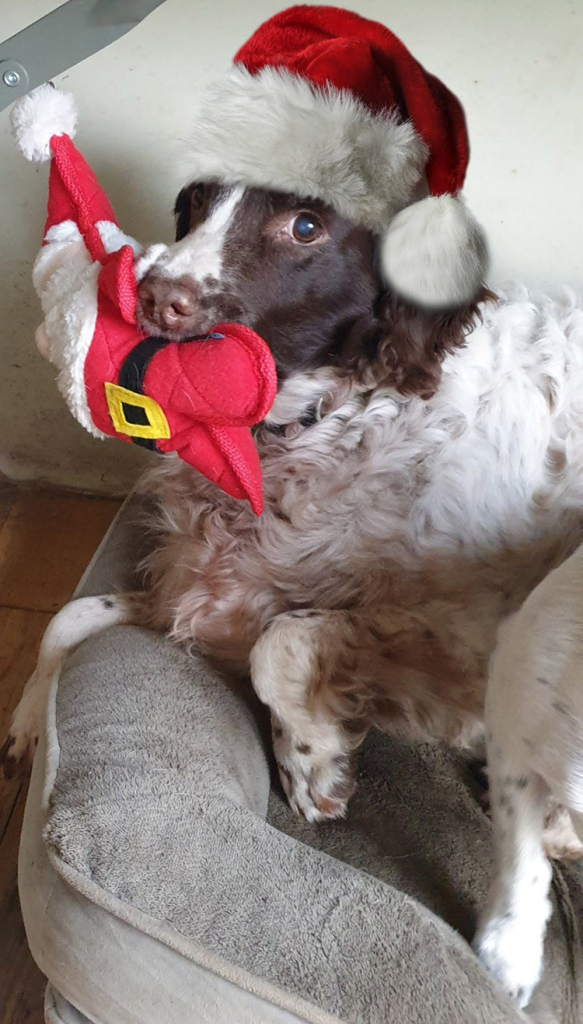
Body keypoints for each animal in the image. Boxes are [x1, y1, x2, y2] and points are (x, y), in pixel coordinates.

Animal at [4, 178, 581, 1007]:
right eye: (193, 204)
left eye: (304, 225)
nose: (152, 296)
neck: (324, 423)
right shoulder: (207, 588)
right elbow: (70, 614)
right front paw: (27, 718)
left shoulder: (474, 641)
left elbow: (282, 645)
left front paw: (310, 763)